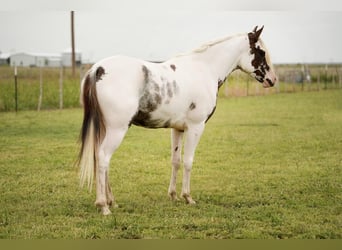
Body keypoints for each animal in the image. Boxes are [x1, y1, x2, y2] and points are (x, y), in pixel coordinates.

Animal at [78, 25, 278, 215]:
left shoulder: (177, 129)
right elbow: (188, 161)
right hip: (117, 129)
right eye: (261, 52)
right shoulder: (196, 127)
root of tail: (98, 69)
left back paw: (112, 201)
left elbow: (175, 161)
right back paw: (104, 206)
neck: (205, 69)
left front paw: (173, 196)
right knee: (103, 159)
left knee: (102, 160)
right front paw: (188, 197)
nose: (272, 80)